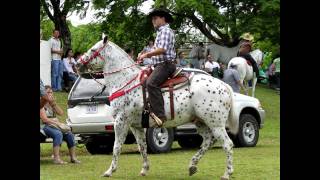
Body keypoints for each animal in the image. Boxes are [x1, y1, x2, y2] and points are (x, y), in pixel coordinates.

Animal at [77, 40, 240, 179]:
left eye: (93, 49)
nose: (78, 64)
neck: (125, 82)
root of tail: (224, 85)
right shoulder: (136, 126)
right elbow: (142, 147)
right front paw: (144, 169)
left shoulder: (121, 121)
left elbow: (116, 146)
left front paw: (109, 171)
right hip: (201, 122)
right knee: (207, 141)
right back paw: (192, 166)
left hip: (215, 123)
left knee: (227, 144)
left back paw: (227, 173)